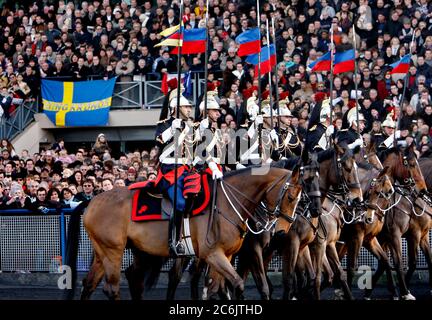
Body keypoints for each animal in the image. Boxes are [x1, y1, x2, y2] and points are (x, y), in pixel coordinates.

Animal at [66, 162, 306, 300]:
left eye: (298, 199)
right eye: (290, 197)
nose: (283, 231)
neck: (227, 202)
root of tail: (94, 200)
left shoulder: (226, 256)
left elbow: (216, 287)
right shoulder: (213, 254)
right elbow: (236, 284)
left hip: (111, 252)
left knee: (93, 285)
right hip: (113, 251)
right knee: (113, 288)